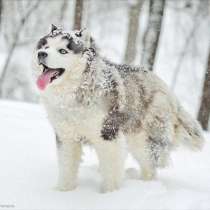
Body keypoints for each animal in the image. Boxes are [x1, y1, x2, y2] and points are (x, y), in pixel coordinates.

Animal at [32, 24, 203, 192]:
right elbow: (67, 167)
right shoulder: (67, 137)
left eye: (62, 51)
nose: (41, 54)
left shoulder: (108, 135)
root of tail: (169, 92)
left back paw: (146, 187)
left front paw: (110, 194)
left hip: (142, 142)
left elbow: (111, 170)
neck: (72, 94)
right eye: (46, 46)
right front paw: (63, 191)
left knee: (150, 168)